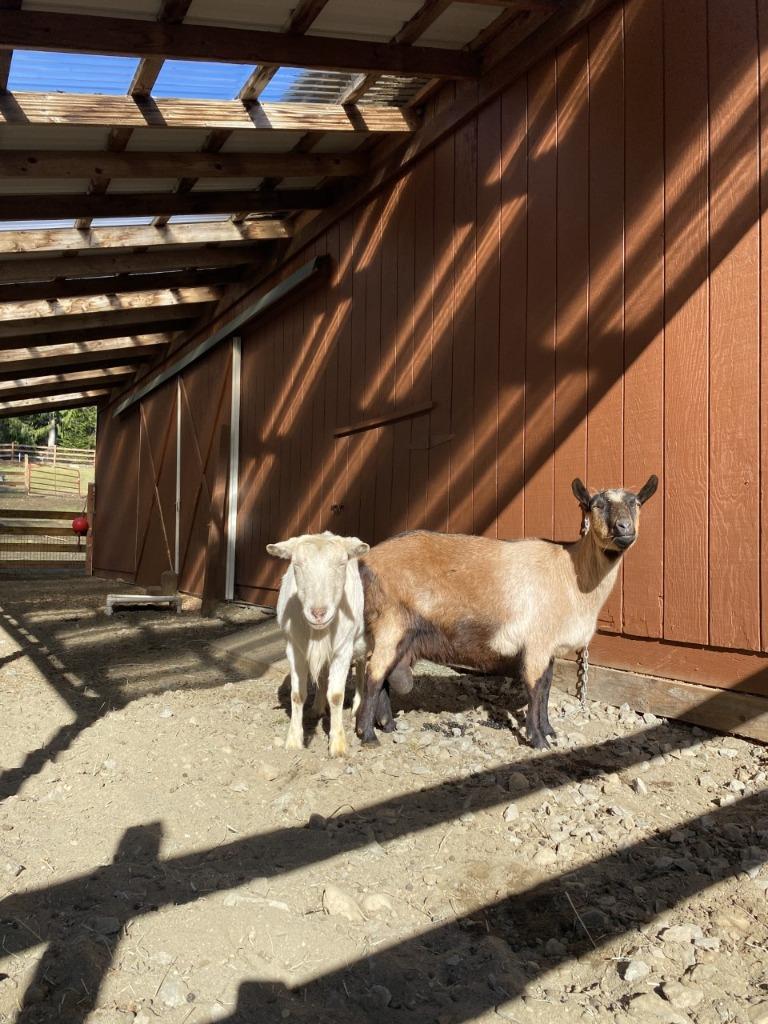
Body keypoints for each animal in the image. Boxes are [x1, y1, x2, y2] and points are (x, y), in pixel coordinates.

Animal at [267, 531, 369, 757]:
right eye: (296, 564)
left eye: (342, 563)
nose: (319, 613)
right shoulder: (294, 648)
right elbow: (297, 695)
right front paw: (293, 741)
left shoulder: (343, 649)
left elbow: (337, 695)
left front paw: (338, 745)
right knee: (322, 674)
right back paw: (317, 707)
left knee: (362, 668)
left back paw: (358, 706)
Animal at [356, 476, 658, 749]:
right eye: (596, 505)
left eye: (636, 503)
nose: (624, 528)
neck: (572, 575)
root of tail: (367, 560)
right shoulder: (536, 643)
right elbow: (535, 689)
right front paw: (538, 740)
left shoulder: (548, 647)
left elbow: (546, 688)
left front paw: (549, 731)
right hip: (391, 622)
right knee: (373, 675)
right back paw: (368, 735)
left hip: (403, 633)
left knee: (384, 676)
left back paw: (388, 725)